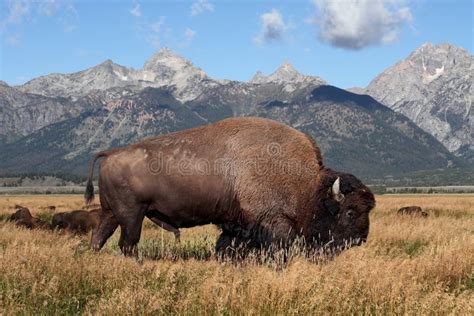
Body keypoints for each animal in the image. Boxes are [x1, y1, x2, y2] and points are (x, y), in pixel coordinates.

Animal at [84, 116, 374, 256]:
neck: (308, 184)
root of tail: (111, 153)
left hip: (112, 213)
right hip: (132, 214)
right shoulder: (275, 223)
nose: (361, 239)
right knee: (128, 243)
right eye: (350, 212)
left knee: (100, 238)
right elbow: (278, 249)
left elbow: (228, 246)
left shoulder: (237, 225)